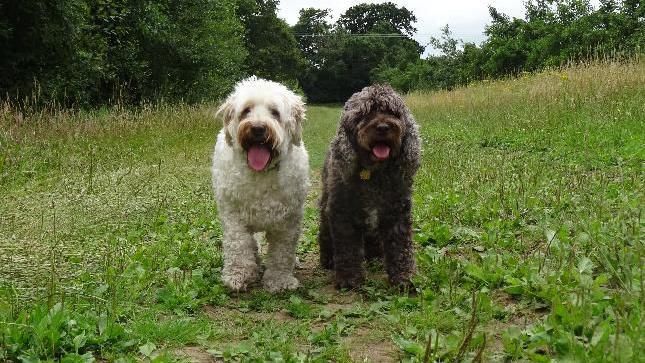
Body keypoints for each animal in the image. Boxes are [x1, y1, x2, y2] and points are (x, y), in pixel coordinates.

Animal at [211, 77, 310, 292]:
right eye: (246, 110)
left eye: (275, 112)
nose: (257, 128)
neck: (261, 173)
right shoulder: (234, 218)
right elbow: (239, 246)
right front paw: (238, 275)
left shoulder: (288, 221)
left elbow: (282, 253)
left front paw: (279, 280)